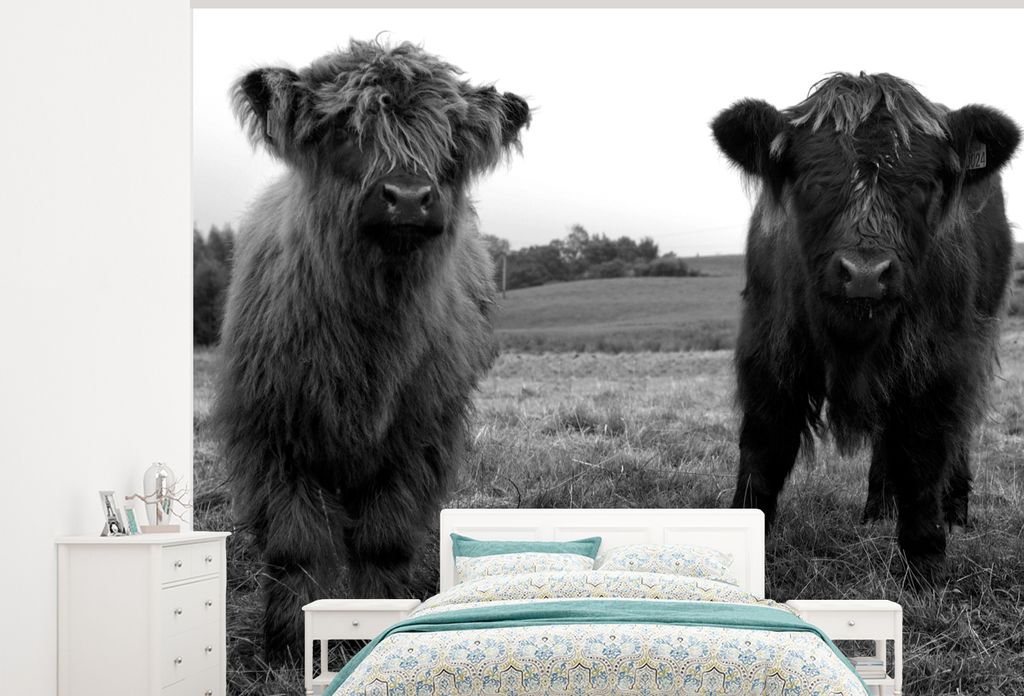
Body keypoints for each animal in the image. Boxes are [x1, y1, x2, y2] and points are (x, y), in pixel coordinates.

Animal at [213, 39, 530, 660]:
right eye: (344, 129)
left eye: (449, 138)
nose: (407, 197)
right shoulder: (272, 436)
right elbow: (295, 546)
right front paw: (287, 641)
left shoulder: (416, 439)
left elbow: (383, 540)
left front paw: (370, 627)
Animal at [712, 72, 1019, 582]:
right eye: (813, 181)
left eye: (923, 184)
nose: (864, 274)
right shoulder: (769, 354)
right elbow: (762, 452)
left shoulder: (939, 363)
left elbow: (923, 455)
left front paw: (924, 562)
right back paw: (878, 505)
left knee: (956, 433)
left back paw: (955, 508)